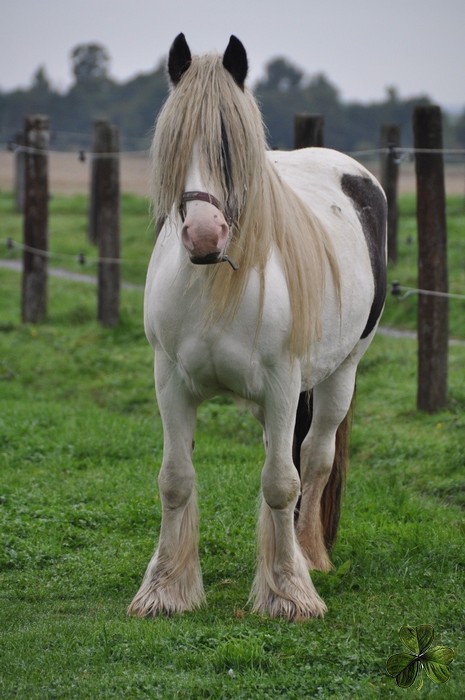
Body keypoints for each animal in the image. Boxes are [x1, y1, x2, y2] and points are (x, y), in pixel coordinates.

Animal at [126, 35, 384, 620]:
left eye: (230, 147)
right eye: (175, 145)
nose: (204, 235)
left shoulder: (283, 383)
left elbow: (282, 482)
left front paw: (288, 591)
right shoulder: (169, 381)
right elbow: (175, 480)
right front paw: (165, 589)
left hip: (340, 375)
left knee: (314, 459)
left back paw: (309, 555)